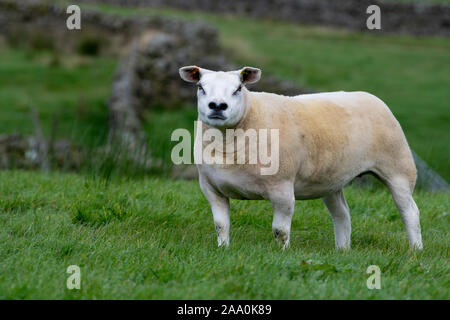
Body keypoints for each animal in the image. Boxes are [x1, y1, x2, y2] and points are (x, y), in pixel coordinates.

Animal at [178, 65, 422, 250]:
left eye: (238, 88)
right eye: (200, 87)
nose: (218, 106)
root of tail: (370, 96)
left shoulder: (282, 188)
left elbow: (280, 230)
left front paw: (282, 253)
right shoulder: (211, 188)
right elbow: (221, 225)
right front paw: (223, 249)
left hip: (398, 169)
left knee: (410, 212)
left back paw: (415, 251)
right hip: (330, 180)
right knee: (342, 214)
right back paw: (342, 249)